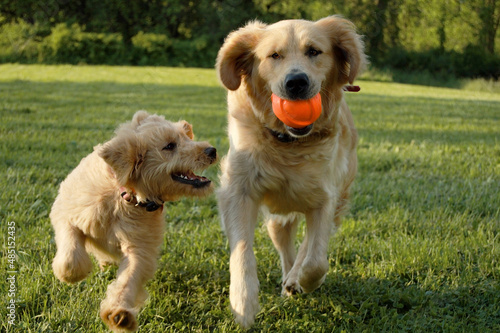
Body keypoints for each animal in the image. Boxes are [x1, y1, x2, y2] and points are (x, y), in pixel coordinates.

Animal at [49, 110, 218, 330]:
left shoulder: (139, 248)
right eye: (169, 146)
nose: (212, 150)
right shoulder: (65, 212)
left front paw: (119, 314)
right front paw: (72, 274)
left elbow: (128, 279)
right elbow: (70, 252)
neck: (125, 195)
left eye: (186, 138)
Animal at [216, 15, 368, 326]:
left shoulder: (325, 199)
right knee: (285, 245)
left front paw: (304, 281)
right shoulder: (238, 190)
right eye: (274, 55)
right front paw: (243, 302)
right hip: (277, 219)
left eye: (314, 51)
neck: (288, 144)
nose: (296, 82)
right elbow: (242, 250)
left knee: (306, 249)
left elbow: (316, 260)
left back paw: (293, 281)